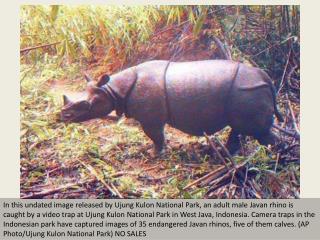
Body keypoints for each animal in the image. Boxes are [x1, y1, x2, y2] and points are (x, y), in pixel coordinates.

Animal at [61, 60, 284, 156]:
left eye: (86, 105)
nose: (63, 116)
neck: (112, 89)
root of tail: (266, 79)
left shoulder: (151, 119)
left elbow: (155, 136)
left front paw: (155, 154)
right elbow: (157, 135)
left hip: (247, 91)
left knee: (258, 131)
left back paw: (275, 158)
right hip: (245, 92)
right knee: (239, 128)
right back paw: (226, 154)